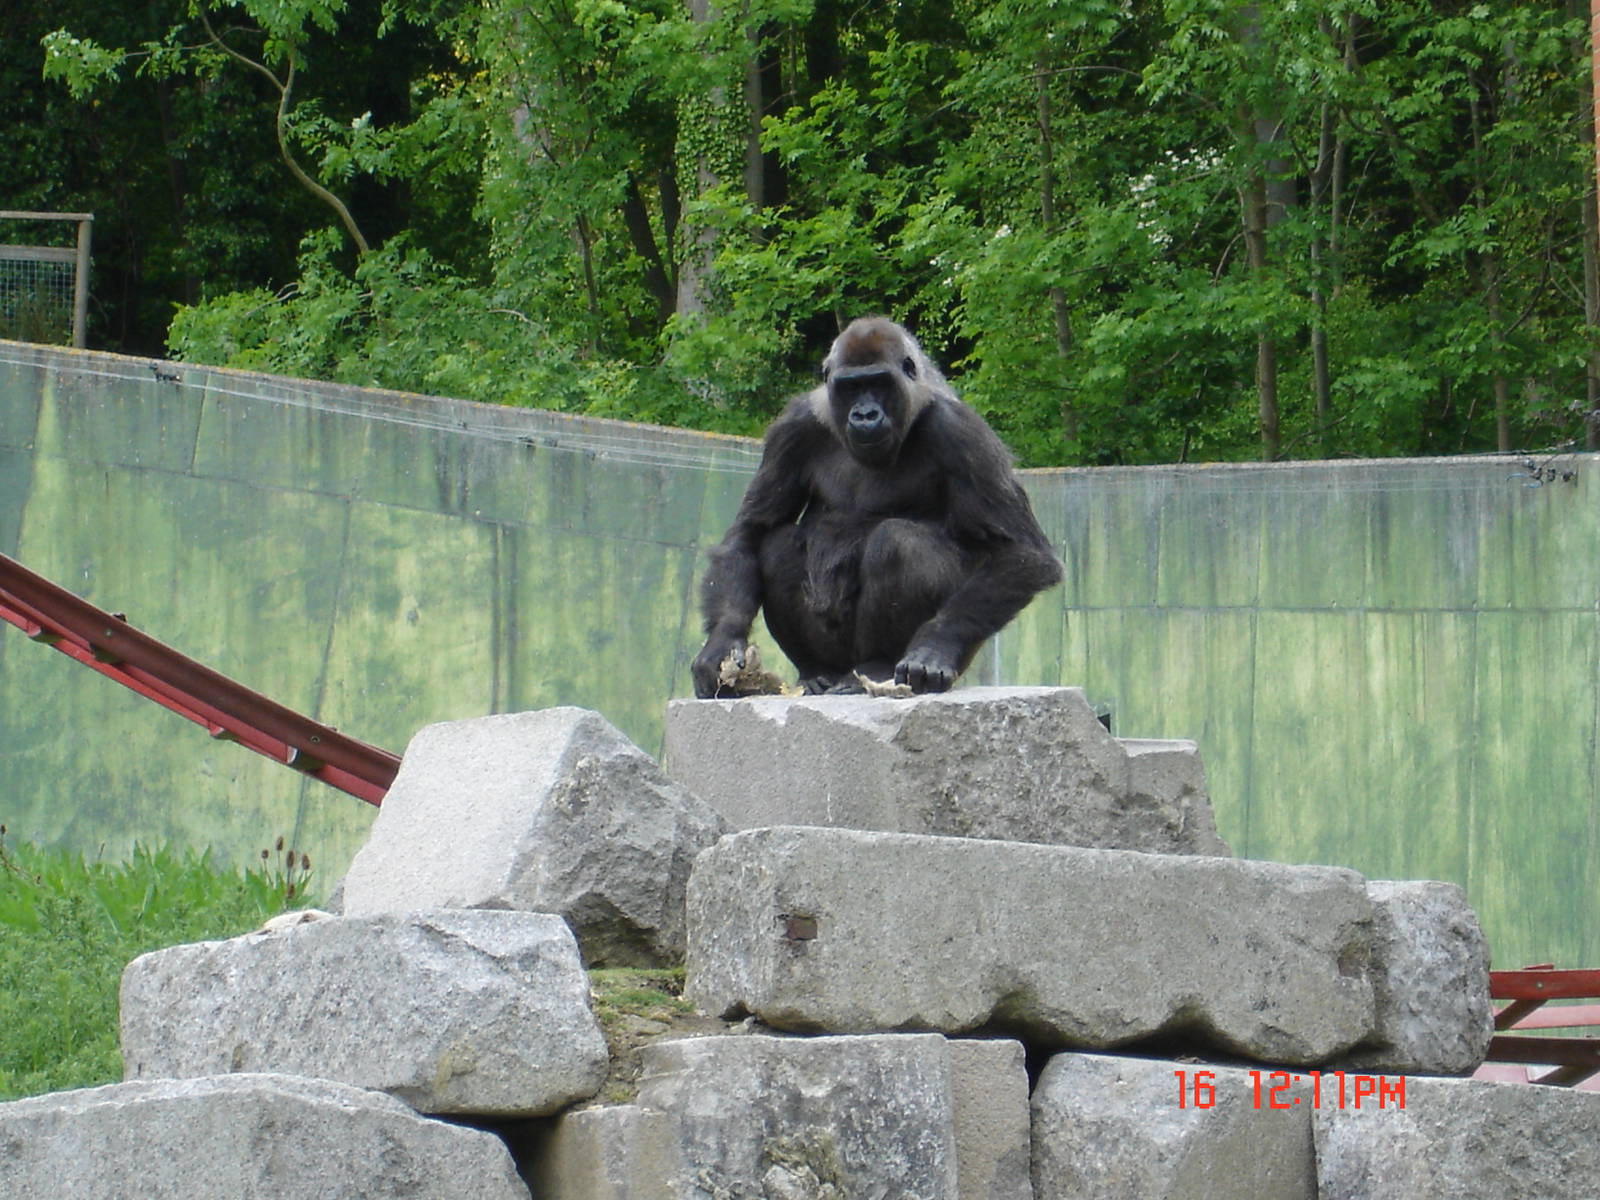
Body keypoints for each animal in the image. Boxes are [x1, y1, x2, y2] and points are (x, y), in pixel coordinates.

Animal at [691, 316, 1063, 697]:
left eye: (879, 383)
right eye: (851, 387)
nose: (865, 414)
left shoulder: (961, 431)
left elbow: (1022, 553)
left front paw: (935, 646)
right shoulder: (793, 426)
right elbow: (751, 531)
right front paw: (721, 645)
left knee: (898, 543)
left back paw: (879, 664)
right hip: (836, 658)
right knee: (776, 545)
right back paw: (817, 673)